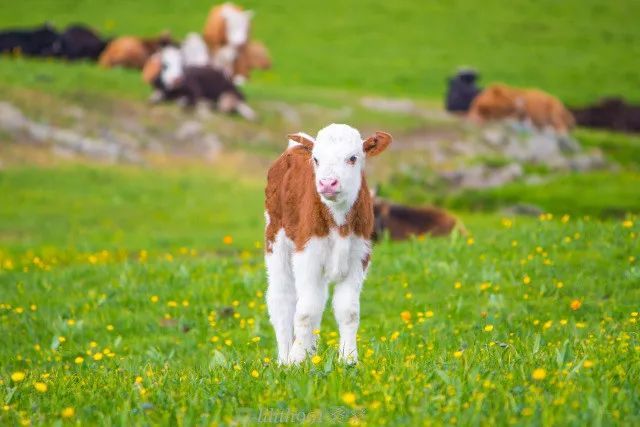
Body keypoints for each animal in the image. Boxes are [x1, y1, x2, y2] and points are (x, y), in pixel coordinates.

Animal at [264, 123, 392, 364]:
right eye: (316, 159)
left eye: (353, 158)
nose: (327, 183)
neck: (339, 223)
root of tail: (296, 145)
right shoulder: (307, 254)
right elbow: (305, 311)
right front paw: (296, 361)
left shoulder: (359, 256)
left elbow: (348, 311)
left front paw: (348, 359)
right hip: (275, 239)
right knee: (282, 298)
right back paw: (284, 357)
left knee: (318, 298)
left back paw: (311, 352)